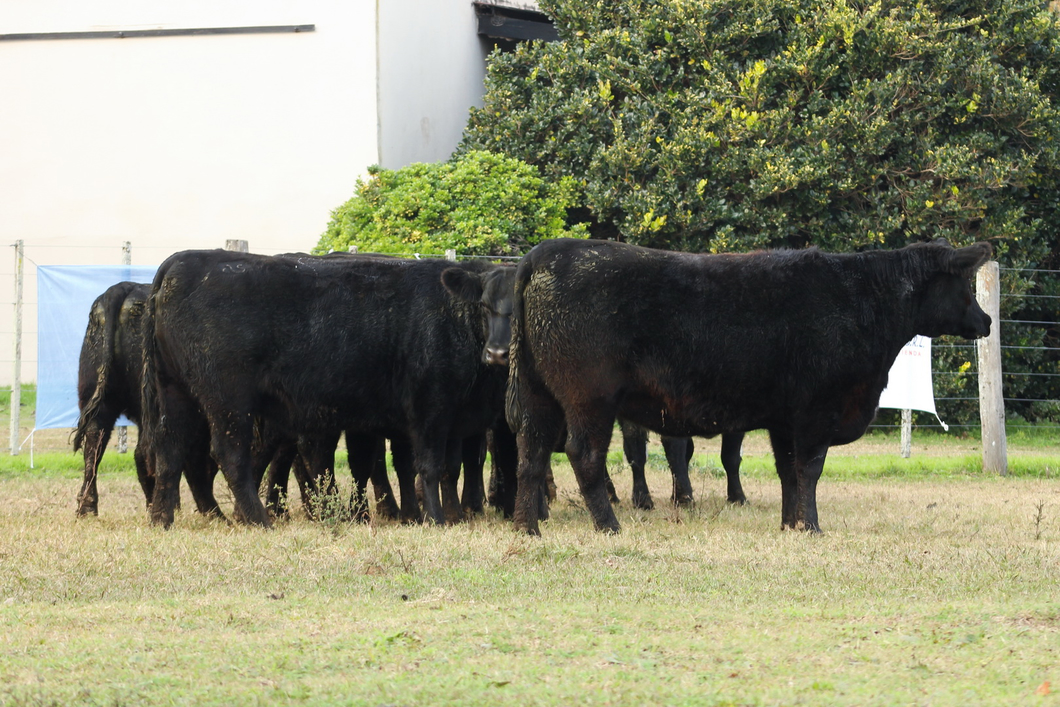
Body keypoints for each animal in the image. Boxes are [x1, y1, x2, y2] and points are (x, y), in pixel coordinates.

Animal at [142, 249, 517, 525]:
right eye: (485, 306)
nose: (498, 352)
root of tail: (182, 261)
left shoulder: (455, 416)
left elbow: (451, 467)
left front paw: (454, 516)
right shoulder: (430, 408)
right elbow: (429, 466)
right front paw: (435, 518)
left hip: (174, 389)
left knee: (170, 448)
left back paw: (164, 518)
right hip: (228, 400)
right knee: (229, 454)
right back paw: (258, 519)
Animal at [508, 240, 987, 534]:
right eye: (965, 285)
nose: (986, 321)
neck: (863, 299)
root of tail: (546, 252)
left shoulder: (784, 419)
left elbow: (788, 471)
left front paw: (791, 524)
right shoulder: (817, 411)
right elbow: (809, 469)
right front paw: (812, 527)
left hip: (537, 394)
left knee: (530, 455)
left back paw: (527, 527)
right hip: (589, 398)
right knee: (583, 455)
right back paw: (608, 526)